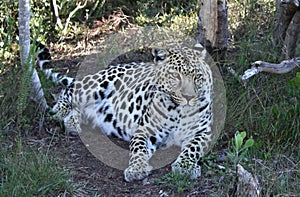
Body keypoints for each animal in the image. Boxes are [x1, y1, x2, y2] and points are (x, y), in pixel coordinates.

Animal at [37, 45, 214, 182]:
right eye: (176, 76)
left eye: (197, 77)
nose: (189, 97)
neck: (178, 111)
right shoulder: (145, 130)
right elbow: (138, 149)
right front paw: (137, 168)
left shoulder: (202, 132)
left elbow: (192, 148)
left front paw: (185, 167)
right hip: (97, 85)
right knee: (68, 90)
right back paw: (59, 111)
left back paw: (72, 123)